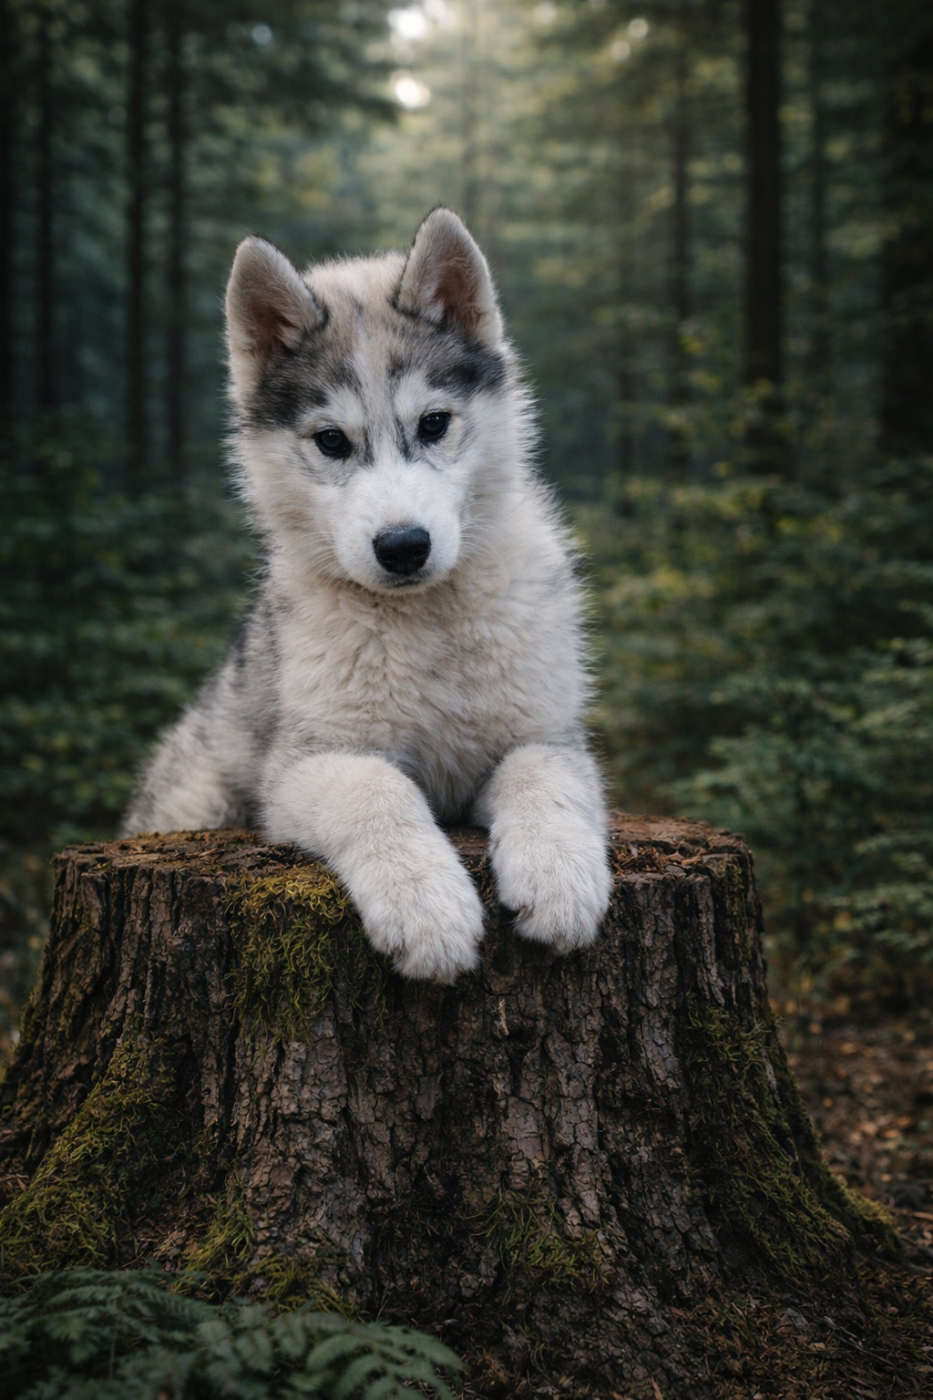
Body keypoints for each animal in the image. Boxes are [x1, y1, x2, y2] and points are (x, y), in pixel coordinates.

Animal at [121, 208, 612, 982]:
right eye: (331, 441)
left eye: (434, 424)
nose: (404, 545)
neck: (426, 618)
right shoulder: (302, 765)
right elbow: (377, 791)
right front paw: (427, 908)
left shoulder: (549, 733)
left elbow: (542, 775)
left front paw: (559, 876)